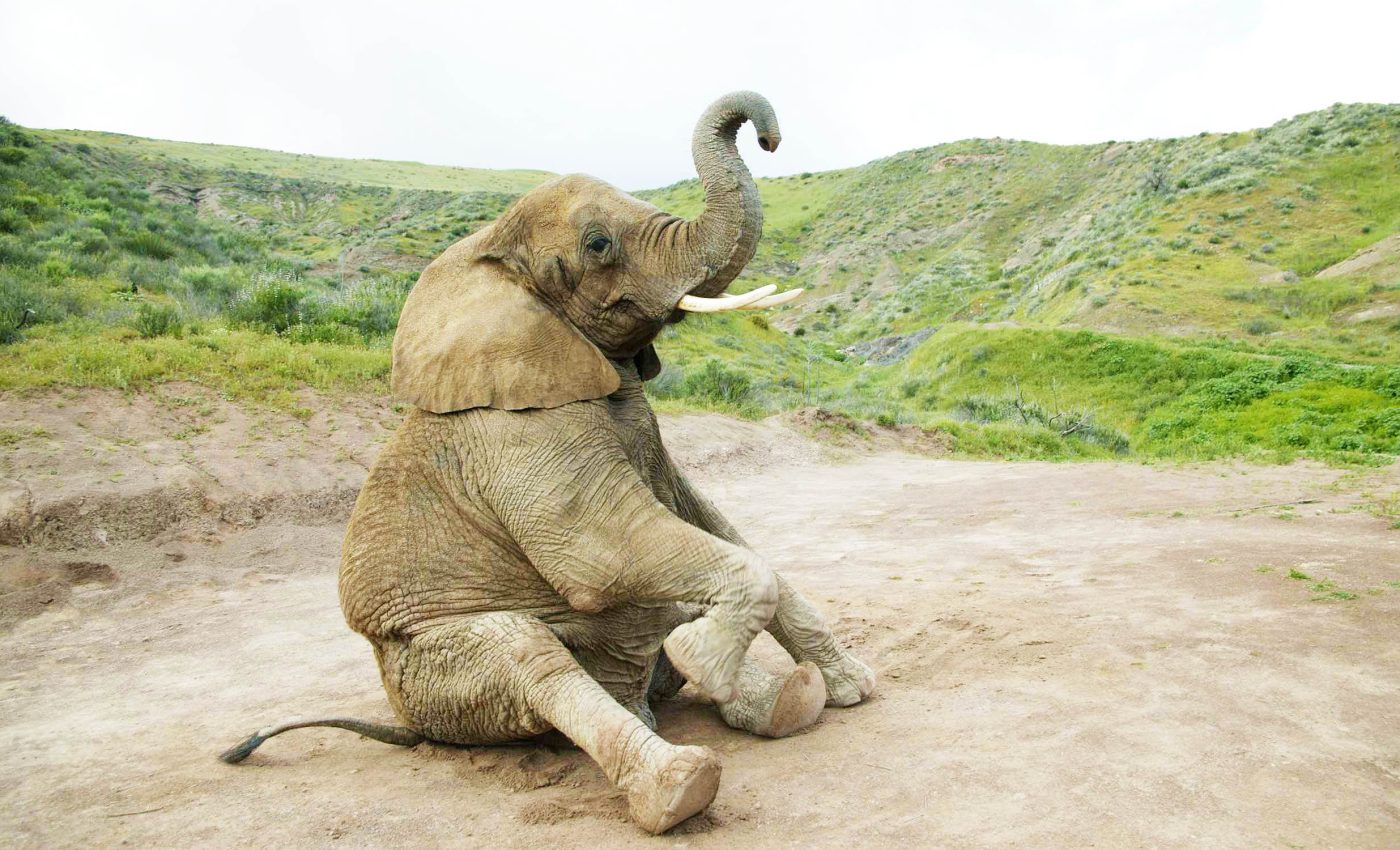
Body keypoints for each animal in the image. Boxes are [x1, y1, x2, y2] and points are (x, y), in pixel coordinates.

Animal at [220, 91, 875, 834]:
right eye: (598, 244)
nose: (767, 135)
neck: (487, 255)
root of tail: (409, 725)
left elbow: (714, 526)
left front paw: (852, 687)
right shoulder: (515, 433)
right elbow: (600, 554)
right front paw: (704, 659)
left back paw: (789, 700)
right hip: (435, 673)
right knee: (531, 659)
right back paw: (679, 784)